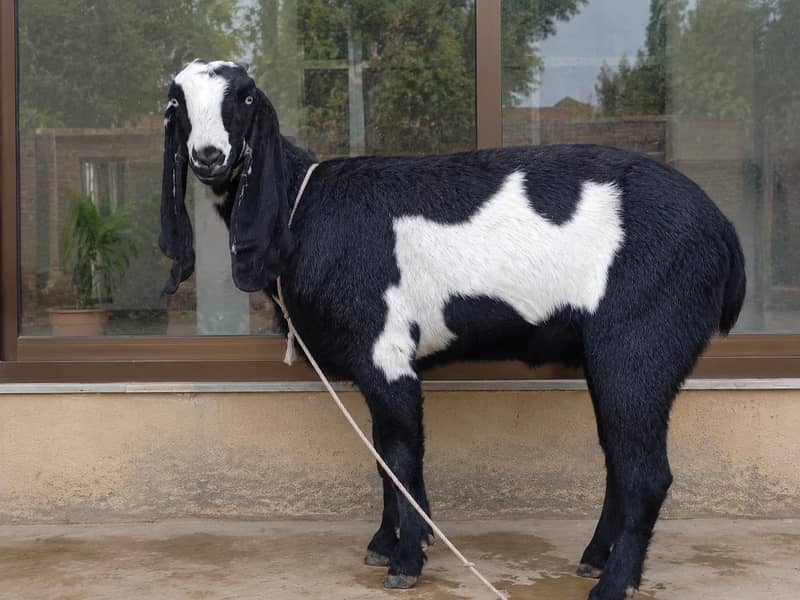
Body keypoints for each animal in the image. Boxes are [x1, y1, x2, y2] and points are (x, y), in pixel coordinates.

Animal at [160, 60, 746, 600]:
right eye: (178, 101)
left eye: (246, 97)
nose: (209, 155)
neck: (303, 205)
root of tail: (723, 231)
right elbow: (384, 457)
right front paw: (385, 544)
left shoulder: (387, 350)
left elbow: (400, 455)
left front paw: (406, 561)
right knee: (619, 460)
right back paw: (594, 559)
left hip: (641, 344)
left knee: (646, 474)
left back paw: (612, 583)